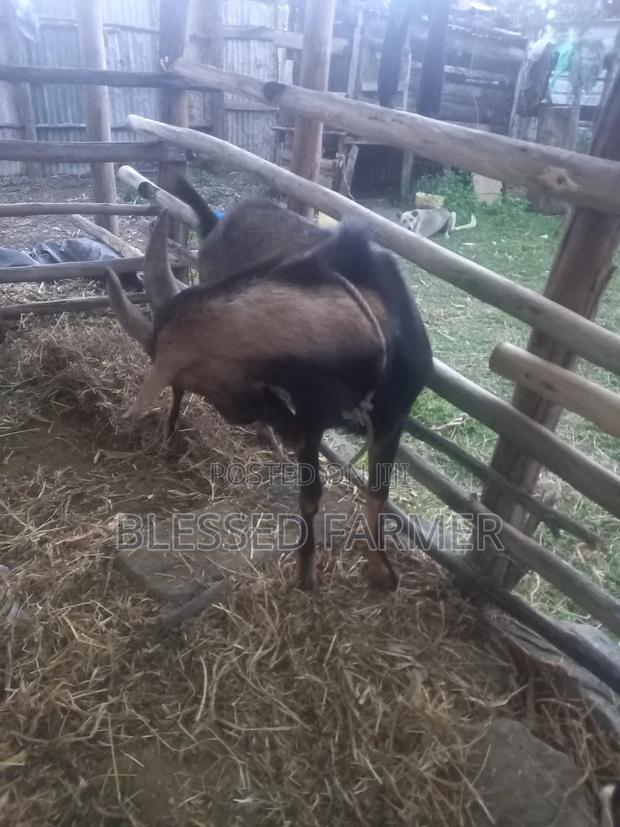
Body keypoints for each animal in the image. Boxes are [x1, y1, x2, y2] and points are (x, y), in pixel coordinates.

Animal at [107, 209, 433, 592]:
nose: (291, 433)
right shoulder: (311, 418)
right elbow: (310, 496)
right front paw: (305, 576)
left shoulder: (391, 419)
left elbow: (378, 493)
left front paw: (382, 572)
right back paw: (172, 433)